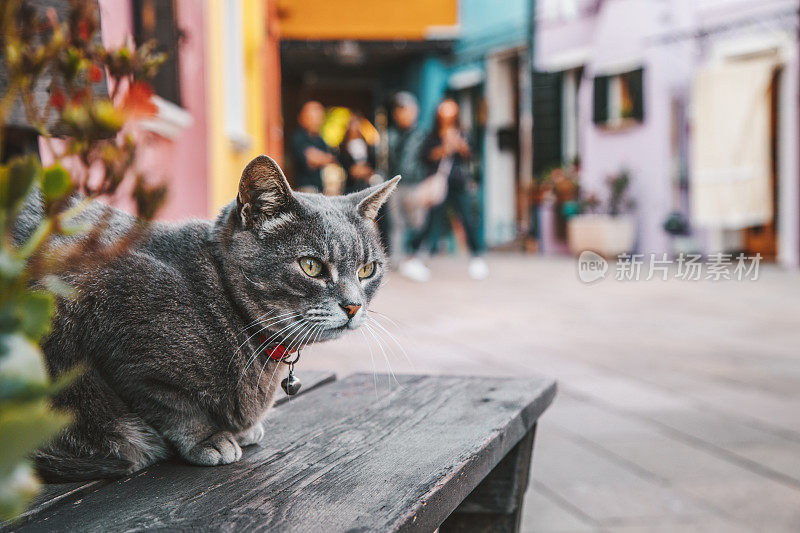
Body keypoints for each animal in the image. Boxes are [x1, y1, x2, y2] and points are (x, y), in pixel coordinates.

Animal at [20, 155, 400, 482]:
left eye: (367, 270)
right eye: (311, 266)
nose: (353, 306)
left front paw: (242, 430)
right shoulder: (102, 320)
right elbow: (168, 403)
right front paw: (209, 437)